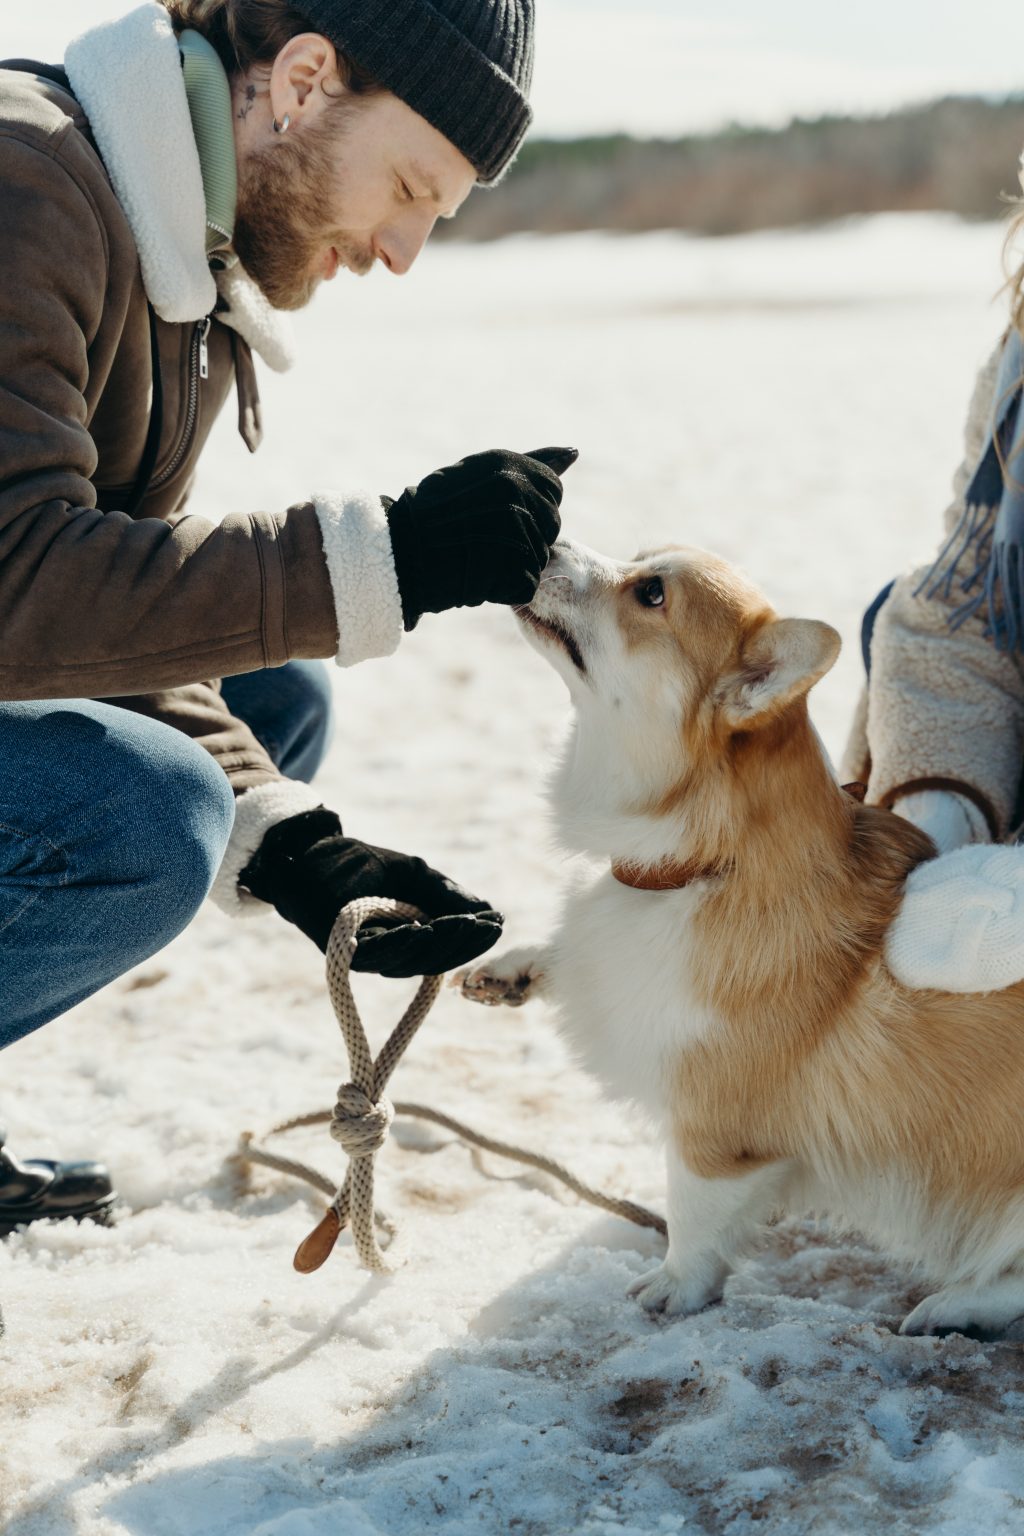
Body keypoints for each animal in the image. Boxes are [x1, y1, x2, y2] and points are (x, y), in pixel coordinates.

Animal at [457, 540, 1024, 1333]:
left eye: (651, 593)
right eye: (639, 557)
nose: (547, 535)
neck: (702, 865)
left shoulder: (716, 1130)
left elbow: (693, 1215)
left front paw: (674, 1288)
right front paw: (515, 969)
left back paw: (959, 1305)